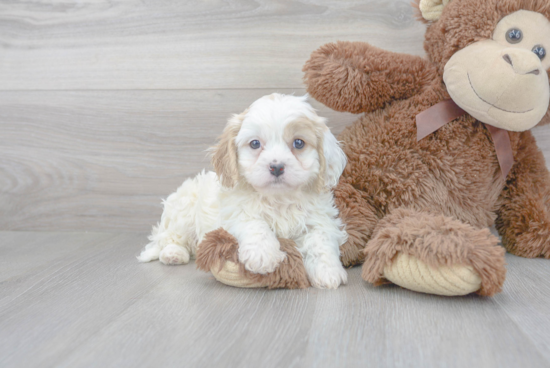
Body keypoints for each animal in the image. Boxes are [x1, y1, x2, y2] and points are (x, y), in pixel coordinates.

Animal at [138, 93, 350, 288]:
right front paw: (263, 255)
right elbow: (254, 224)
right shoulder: (234, 211)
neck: (278, 198)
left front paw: (328, 271)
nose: (276, 167)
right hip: (183, 210)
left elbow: (320, 239)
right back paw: (173, 253)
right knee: (169, 238)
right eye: (255, 143)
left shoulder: (321, 218)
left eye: (299, 143)